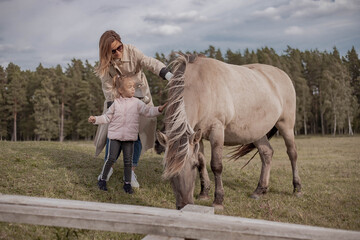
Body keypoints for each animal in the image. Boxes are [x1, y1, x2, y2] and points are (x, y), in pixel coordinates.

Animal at [157, 54, 300, 210]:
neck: (200, 86)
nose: (184, 205)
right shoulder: (197, 134)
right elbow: (203, 162)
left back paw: (297, 188)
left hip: (286, 124)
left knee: (292, 153)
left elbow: (216, 165)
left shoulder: (217, 130)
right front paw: (204, 193)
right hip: (256, 132)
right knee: (266, 153)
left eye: (192, 165)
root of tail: (283, 74)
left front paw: (218, 200)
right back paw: (260, 190)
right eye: (166, 166)